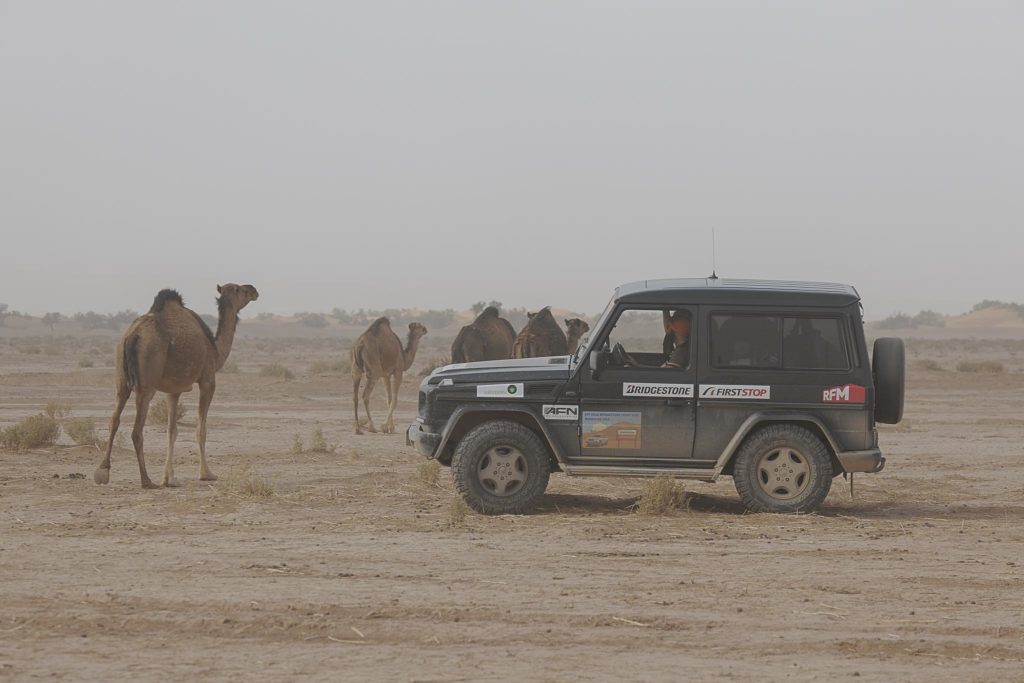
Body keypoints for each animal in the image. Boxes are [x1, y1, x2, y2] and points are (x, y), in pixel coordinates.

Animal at [95, 286, 260, 489]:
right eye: (239, 289)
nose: (254, 290)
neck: (215, 350)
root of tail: (133, 335)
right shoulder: (208, 381)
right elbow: (201, 429)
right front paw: (206, 474)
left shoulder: (173, 390)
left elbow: (171, 431)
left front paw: (169, 478)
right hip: (146, 384)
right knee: (136, 430)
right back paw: (146, 480)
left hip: (121, 378)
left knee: (114, 420)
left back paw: (102, 471)